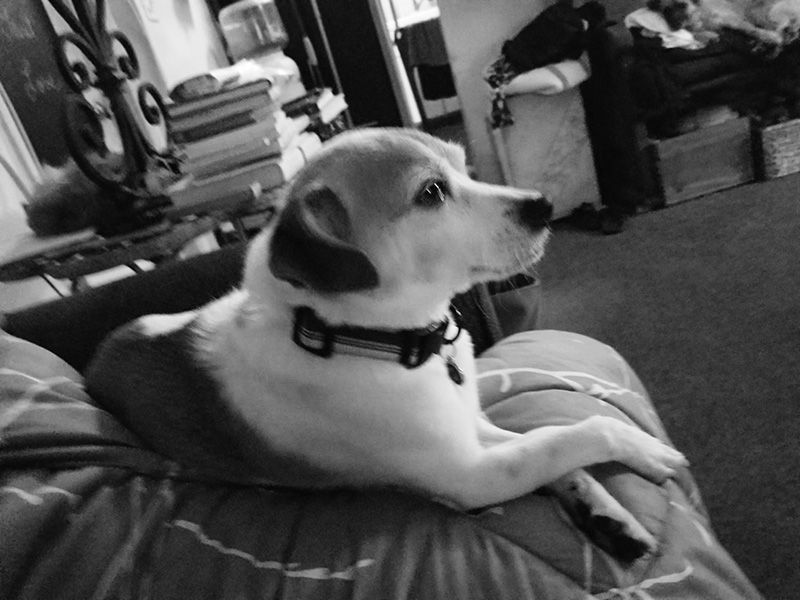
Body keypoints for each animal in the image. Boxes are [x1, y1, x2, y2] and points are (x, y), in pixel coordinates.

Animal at [87, 128, 687, 562]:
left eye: (461, 164)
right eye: (431, 192)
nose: (542, 202)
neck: (368, 339)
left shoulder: (472, 429)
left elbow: (551, 445)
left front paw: (606, 513)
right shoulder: (469, 475)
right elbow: (573, 435)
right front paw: (640, 446)